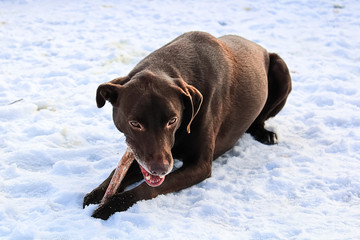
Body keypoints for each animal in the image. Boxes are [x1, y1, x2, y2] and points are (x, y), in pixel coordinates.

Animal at [83, 31, 292, 219]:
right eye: (135, 123)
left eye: (172, 120)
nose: (160, 168)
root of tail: (258, 46)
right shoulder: (145, 155)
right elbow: (117, 173)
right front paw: (97, 192)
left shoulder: (200, 165)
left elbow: (149, 188)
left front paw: (113, 204)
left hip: (281, 69)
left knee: (259, 120)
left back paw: (265, 133)